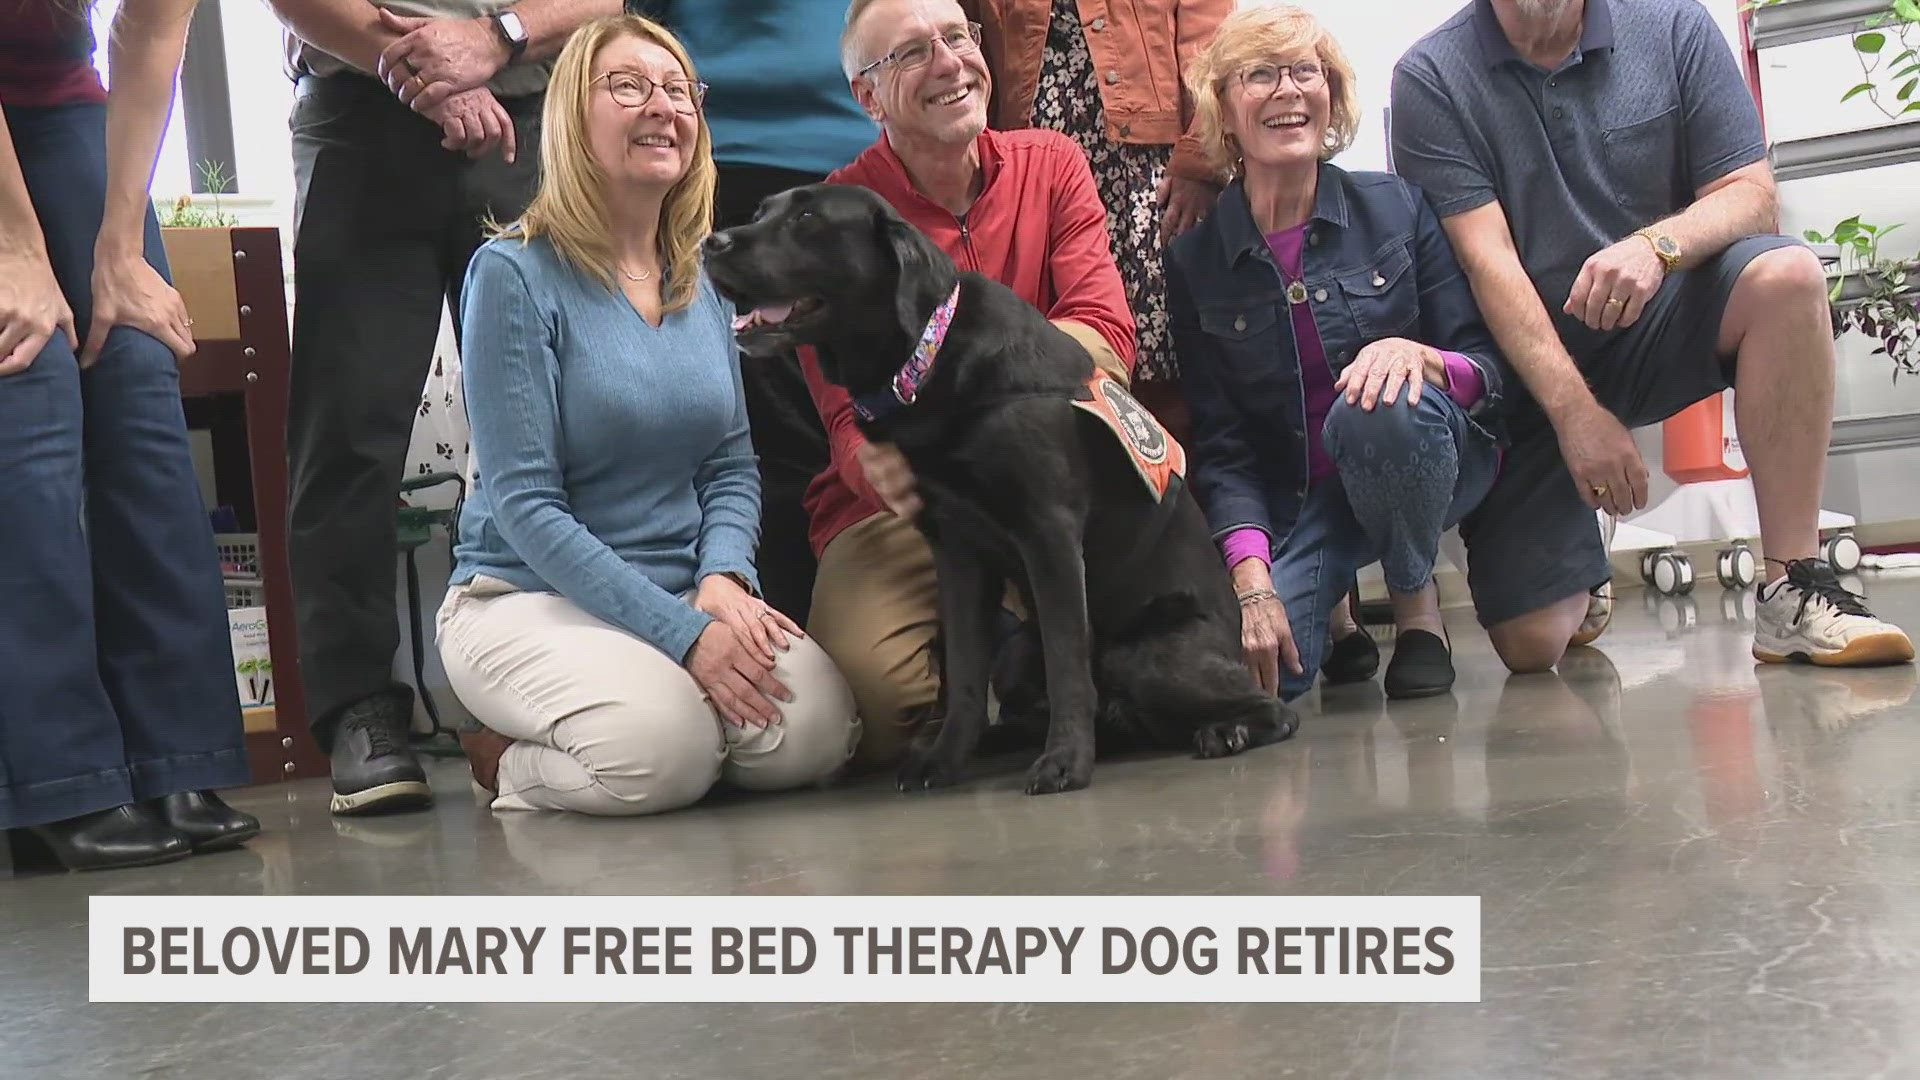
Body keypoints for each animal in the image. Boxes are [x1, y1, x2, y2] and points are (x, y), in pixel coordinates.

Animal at [698, 184, 1297, 791]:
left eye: (806, 217)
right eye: (761, 212)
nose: (711, 243)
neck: (925, 357)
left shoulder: (1050, 536)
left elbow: (1067, 665)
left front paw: (1065, 761)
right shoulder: (956, 549)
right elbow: (965, 669)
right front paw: (943, 758)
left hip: (1149, 652)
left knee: (1272, 710)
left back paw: (1224, 731)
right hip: (1018, 657)